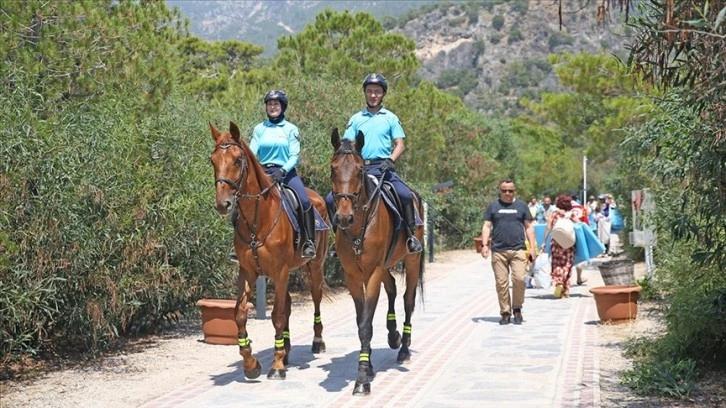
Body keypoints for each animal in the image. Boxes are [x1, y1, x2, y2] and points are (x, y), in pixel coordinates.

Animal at [209, 120, 332, 380]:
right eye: (212, 160)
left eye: (237, 160)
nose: (223, 204)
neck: (259, 218)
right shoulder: (247, 272)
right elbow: (240, 314)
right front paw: (251, 364)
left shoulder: (280, 271)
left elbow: (276, 316)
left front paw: (276, 366)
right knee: (287, 305)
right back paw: (286, 349)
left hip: (315, 266)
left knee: (315, 298)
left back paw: (317, 342)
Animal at [332, 128, 426, 396]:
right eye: (333, 168)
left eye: (358, 170)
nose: (344, 217)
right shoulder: (353, 276)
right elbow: (360, 320)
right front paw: (369, 365)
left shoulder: (372, 272)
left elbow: (366, 323)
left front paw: (362, 378)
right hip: (384, 265)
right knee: (392, 287)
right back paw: (393, 336)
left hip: (412, 260)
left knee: (408, 300)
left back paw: (404, 348)